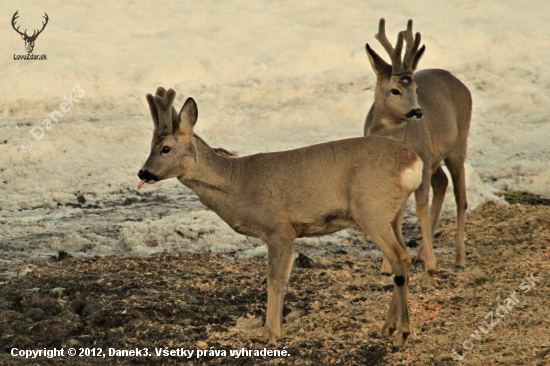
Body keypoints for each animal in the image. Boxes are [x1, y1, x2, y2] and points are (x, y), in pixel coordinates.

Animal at [137, 87, 422, 344]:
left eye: (165, 148)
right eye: (150, 145)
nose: (142, 172)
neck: (237, 183)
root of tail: (414, 162)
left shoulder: (280, 228)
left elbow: (276, 279)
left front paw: (271, 334)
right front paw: (271, 330)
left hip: (370, 209)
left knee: (399, 258)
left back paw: (402, 335)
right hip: (392, 214)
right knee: (403, 258)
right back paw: (388, 328)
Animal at [364, 19, 472, 272]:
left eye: (416, 89)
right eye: (395, 90)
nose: (417, 112)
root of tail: (460, 83)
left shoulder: (420, 163)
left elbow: (420, 206)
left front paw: (432, 264)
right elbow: (393, 215)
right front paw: (387, 266)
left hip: (457, 145)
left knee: (460, 197)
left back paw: (458, 258)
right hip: (433, 157)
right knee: (441, 182)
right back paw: (421, 253)